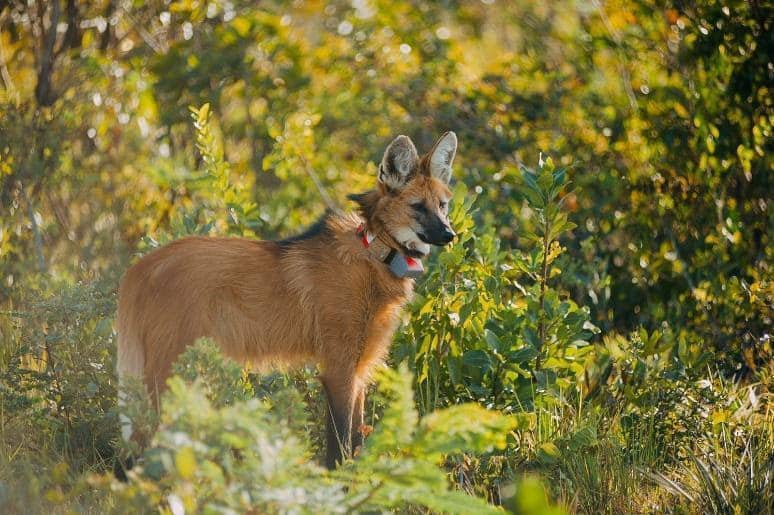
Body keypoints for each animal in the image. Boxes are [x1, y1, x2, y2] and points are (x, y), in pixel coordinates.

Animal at [119, 131, 460, 470]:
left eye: (442, 205)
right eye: (418, 207)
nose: (449, 235)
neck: (375, 253)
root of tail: (139, 267)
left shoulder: (360, 367)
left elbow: (356, 442)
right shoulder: (338, 366)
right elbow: (339, 446)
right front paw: (338, 483)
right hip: (167, 371)